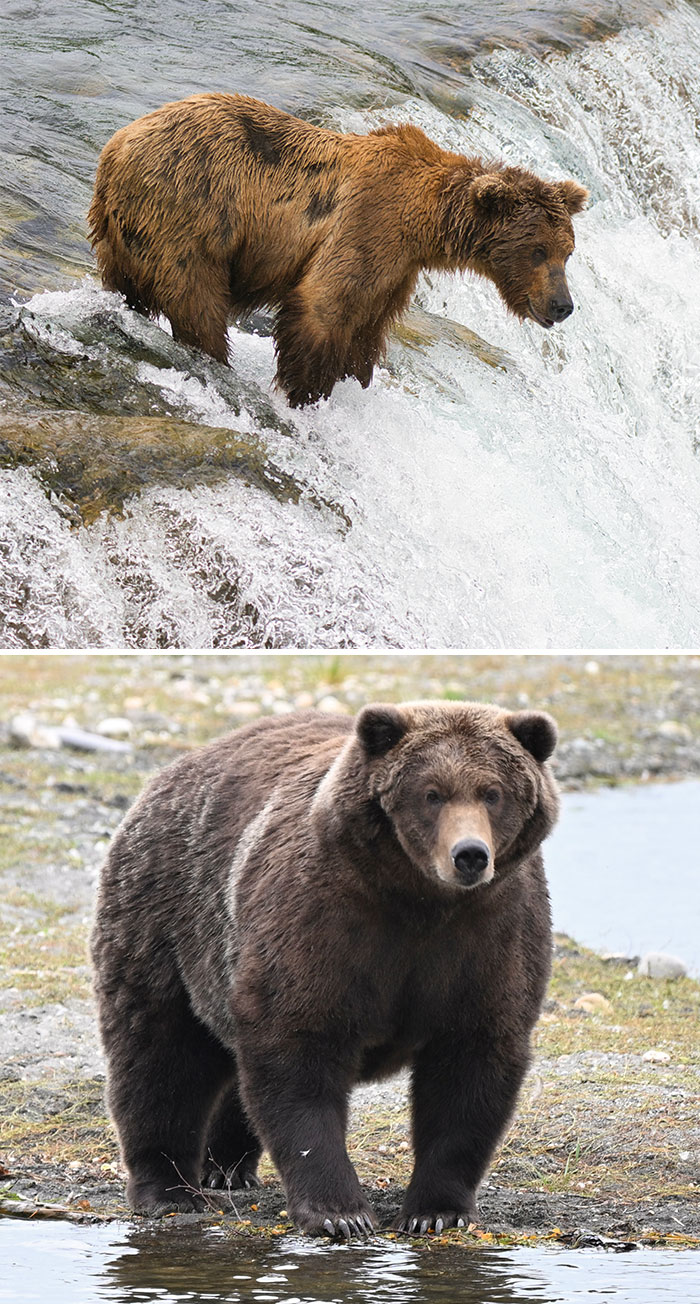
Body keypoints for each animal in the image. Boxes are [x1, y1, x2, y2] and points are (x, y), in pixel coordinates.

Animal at [87, 93, 588, 407]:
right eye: (538, 251)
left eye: (567, 253)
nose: (562, 305)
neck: (424, 222)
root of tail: (114, 149)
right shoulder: (368, 224)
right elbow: (323, 307)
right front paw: (306, 392)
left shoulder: (398, 269)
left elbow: (368, 327)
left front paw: (355, 377)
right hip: (190, 213)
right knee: (198, 300)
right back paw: (214, 358)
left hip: (121, 236)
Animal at [90, 699, 559, 1239]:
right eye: (431, 793)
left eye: (493, 792)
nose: (470, 855)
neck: (420, 901)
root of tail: (169, 773)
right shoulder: (323, 920)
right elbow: (299, 1051)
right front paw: (341, 1212)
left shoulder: (490, 936)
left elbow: (471, 1066)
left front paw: (435, 1211)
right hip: (166, 919)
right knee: (158, 1053)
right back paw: (168, 1189)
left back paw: (226, 1167)